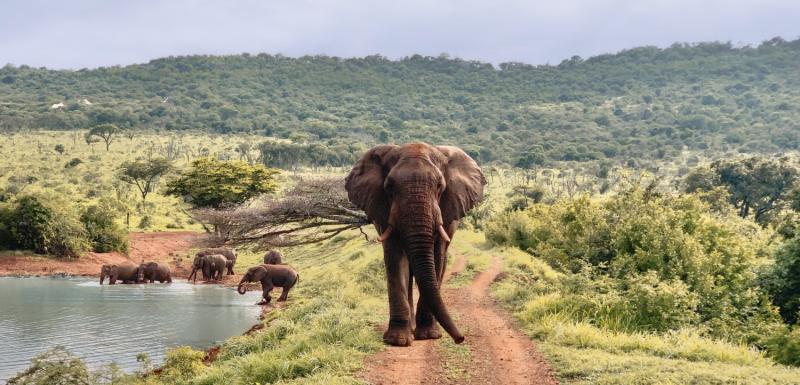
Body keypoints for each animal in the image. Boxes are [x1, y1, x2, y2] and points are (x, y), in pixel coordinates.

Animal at [346, 142, 484, 346]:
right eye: (389, 186)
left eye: (440, 186)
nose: (460, 338)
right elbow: (395, 259)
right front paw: (397, 340)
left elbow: (436, 258)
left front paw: (428, 335)